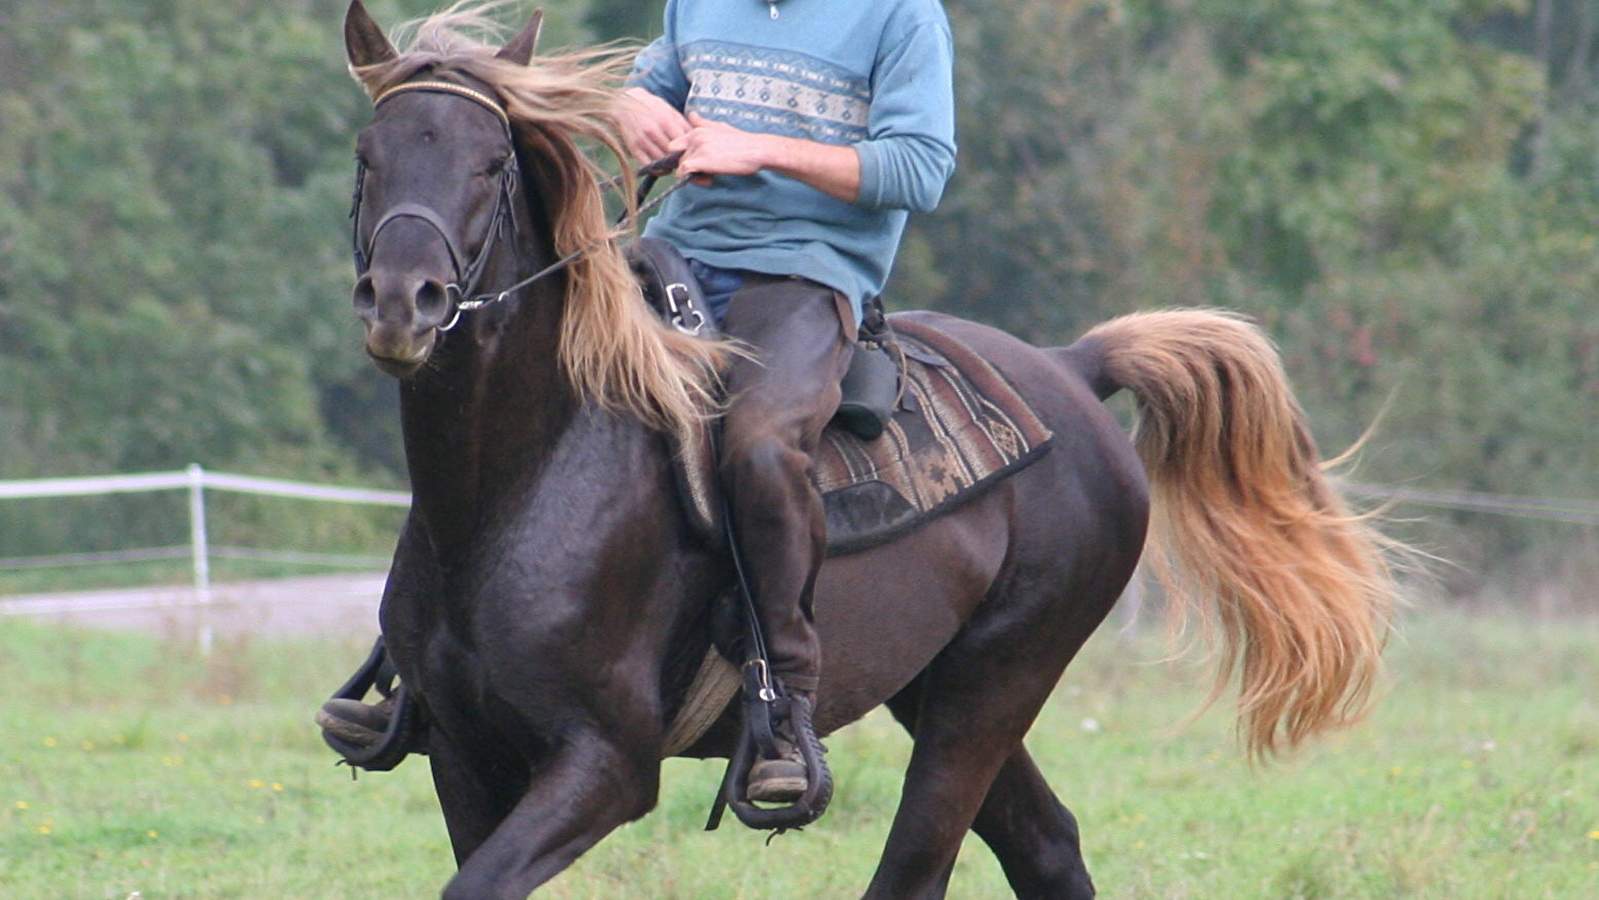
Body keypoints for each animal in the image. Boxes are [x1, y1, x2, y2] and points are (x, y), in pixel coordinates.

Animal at [340, 3, 1400, 895]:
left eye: (491, 163)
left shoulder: (604, 765)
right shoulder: (464, 756)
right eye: (367, 154)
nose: (402, 303)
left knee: (920, 864)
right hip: (932, 686)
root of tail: (1071, 368)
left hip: (994, 684)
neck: (524, 483)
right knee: (1047, 844)